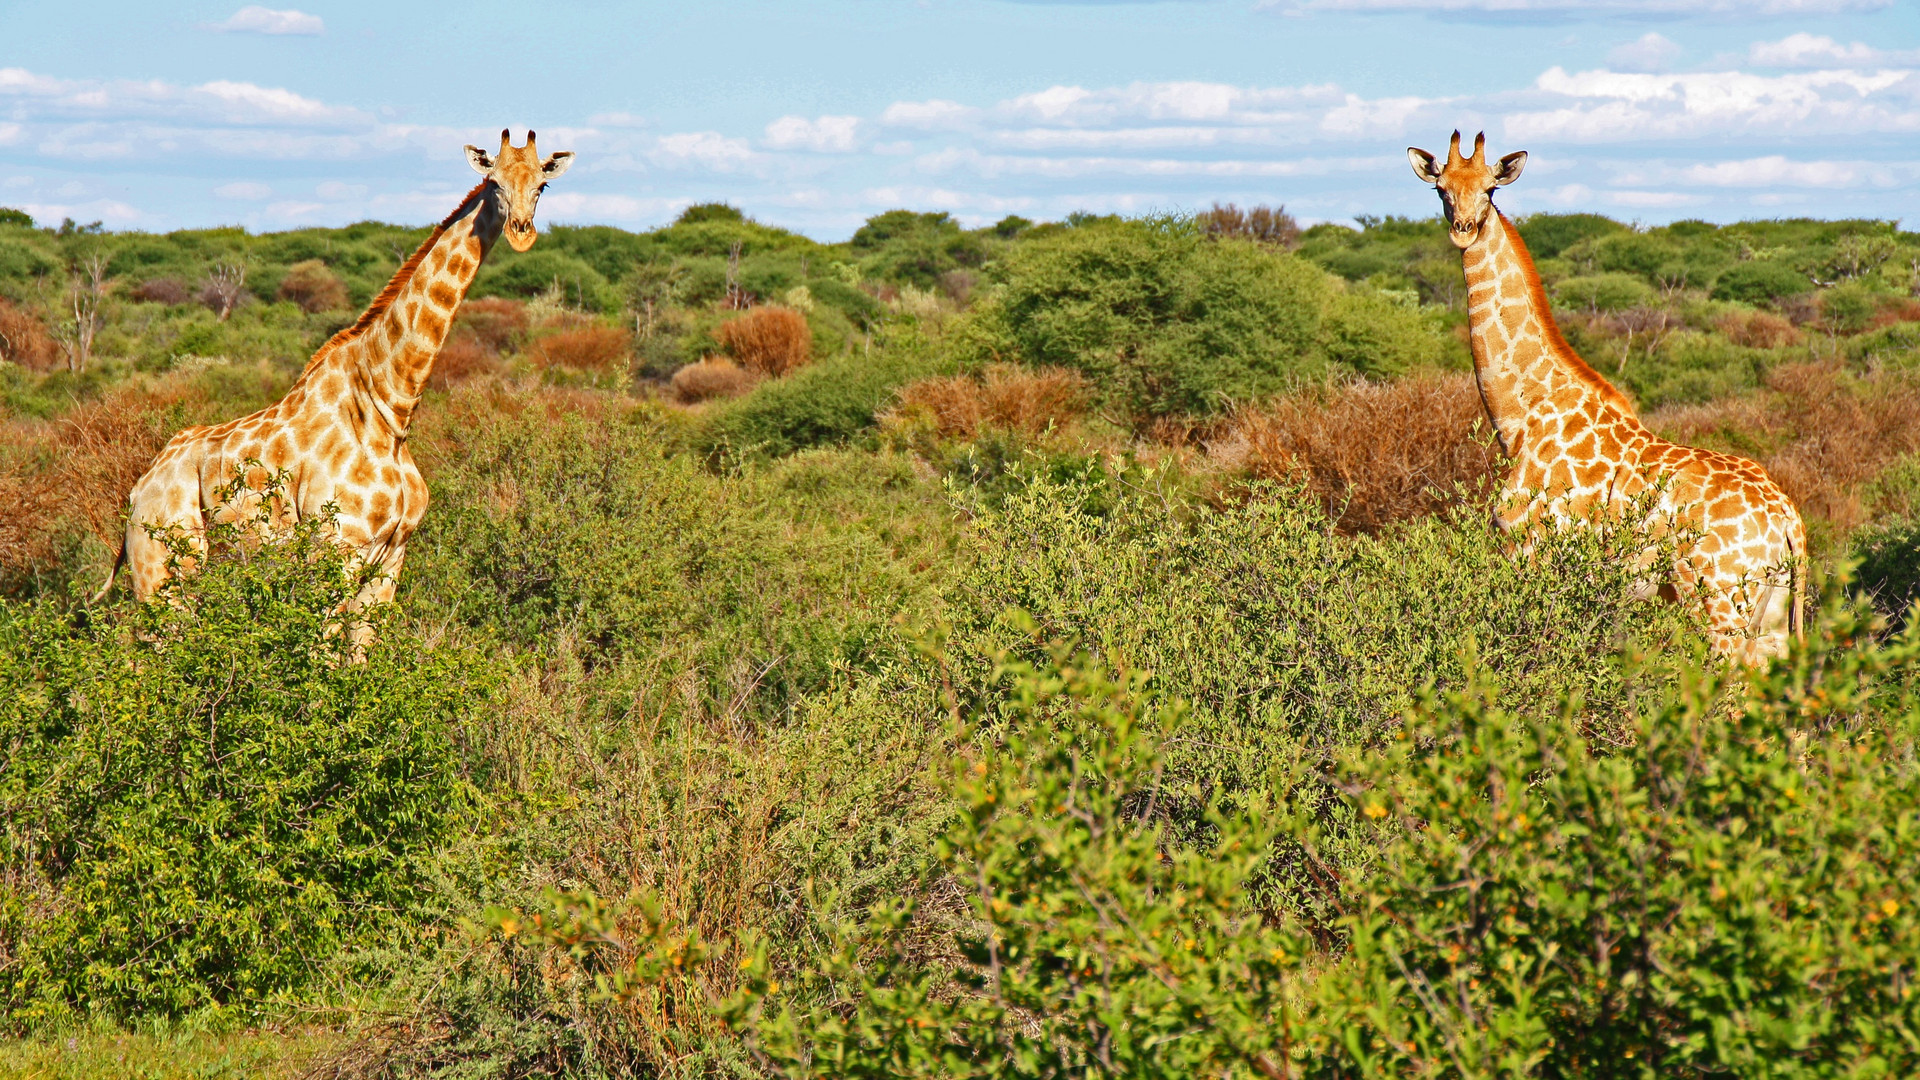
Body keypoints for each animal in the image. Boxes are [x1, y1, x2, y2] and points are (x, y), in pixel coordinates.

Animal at [96, 127, 572, 630]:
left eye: (542, 185)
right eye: (494, 182)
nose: (521, 232)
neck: (391, 405)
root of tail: (137, 492)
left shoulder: (390, 558)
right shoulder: (337, 547)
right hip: (164, 569)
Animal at [1413, 130, 1797, 661]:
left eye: (1490, 189)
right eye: (1441, 189)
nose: (1464, 229)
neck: (1523, 416)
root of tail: (1788, 521)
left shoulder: (1532, 556)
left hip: (1718, 601)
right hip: (1772, 612)